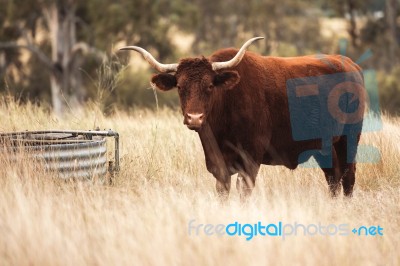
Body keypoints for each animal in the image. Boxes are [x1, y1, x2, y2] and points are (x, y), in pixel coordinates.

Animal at [119, 37, 366, 200]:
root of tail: (350, 64)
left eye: (210, 86)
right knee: (333, 176)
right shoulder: (217, 163)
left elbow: (243, 191)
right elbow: (222, 190)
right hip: (325, 146)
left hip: (349, 138)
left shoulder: (250, 158)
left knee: (348, 176)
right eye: (180, 86)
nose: (195, 118)